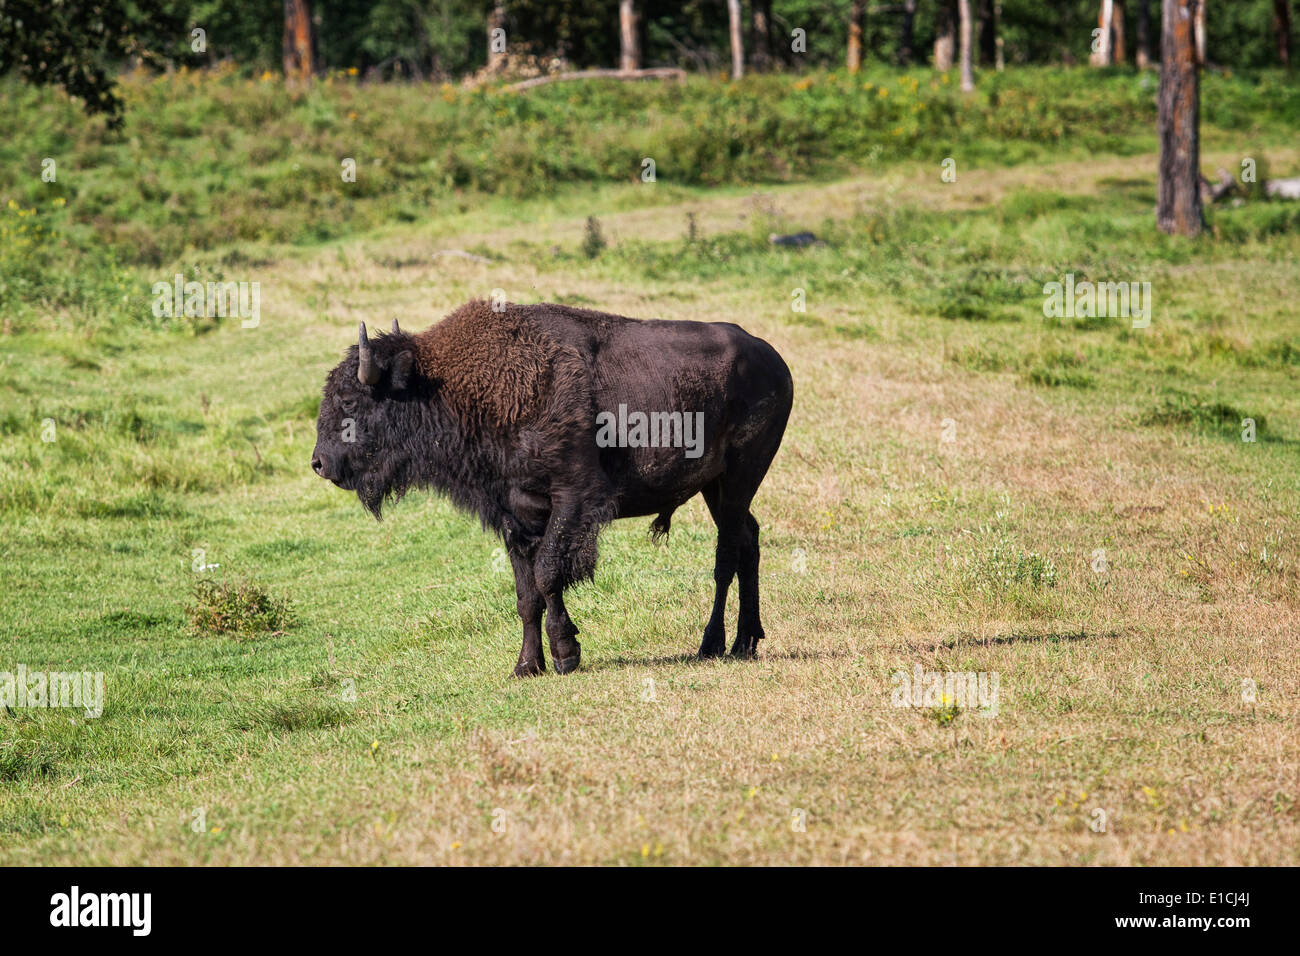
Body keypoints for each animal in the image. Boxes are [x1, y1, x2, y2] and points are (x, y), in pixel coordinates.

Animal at [314, 303, 790, 676]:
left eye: (350, 401)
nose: (319, 462)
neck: (455, 386)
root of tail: (773, 358)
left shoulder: (574, 501)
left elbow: (547, 574)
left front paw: (566, 654)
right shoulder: (515, 516)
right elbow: (527, 595)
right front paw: (526, 666)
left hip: (738, 478)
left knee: (726, 554)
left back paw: (713, 645)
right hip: (718, 487)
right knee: (748, 539)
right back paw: (746, 642)